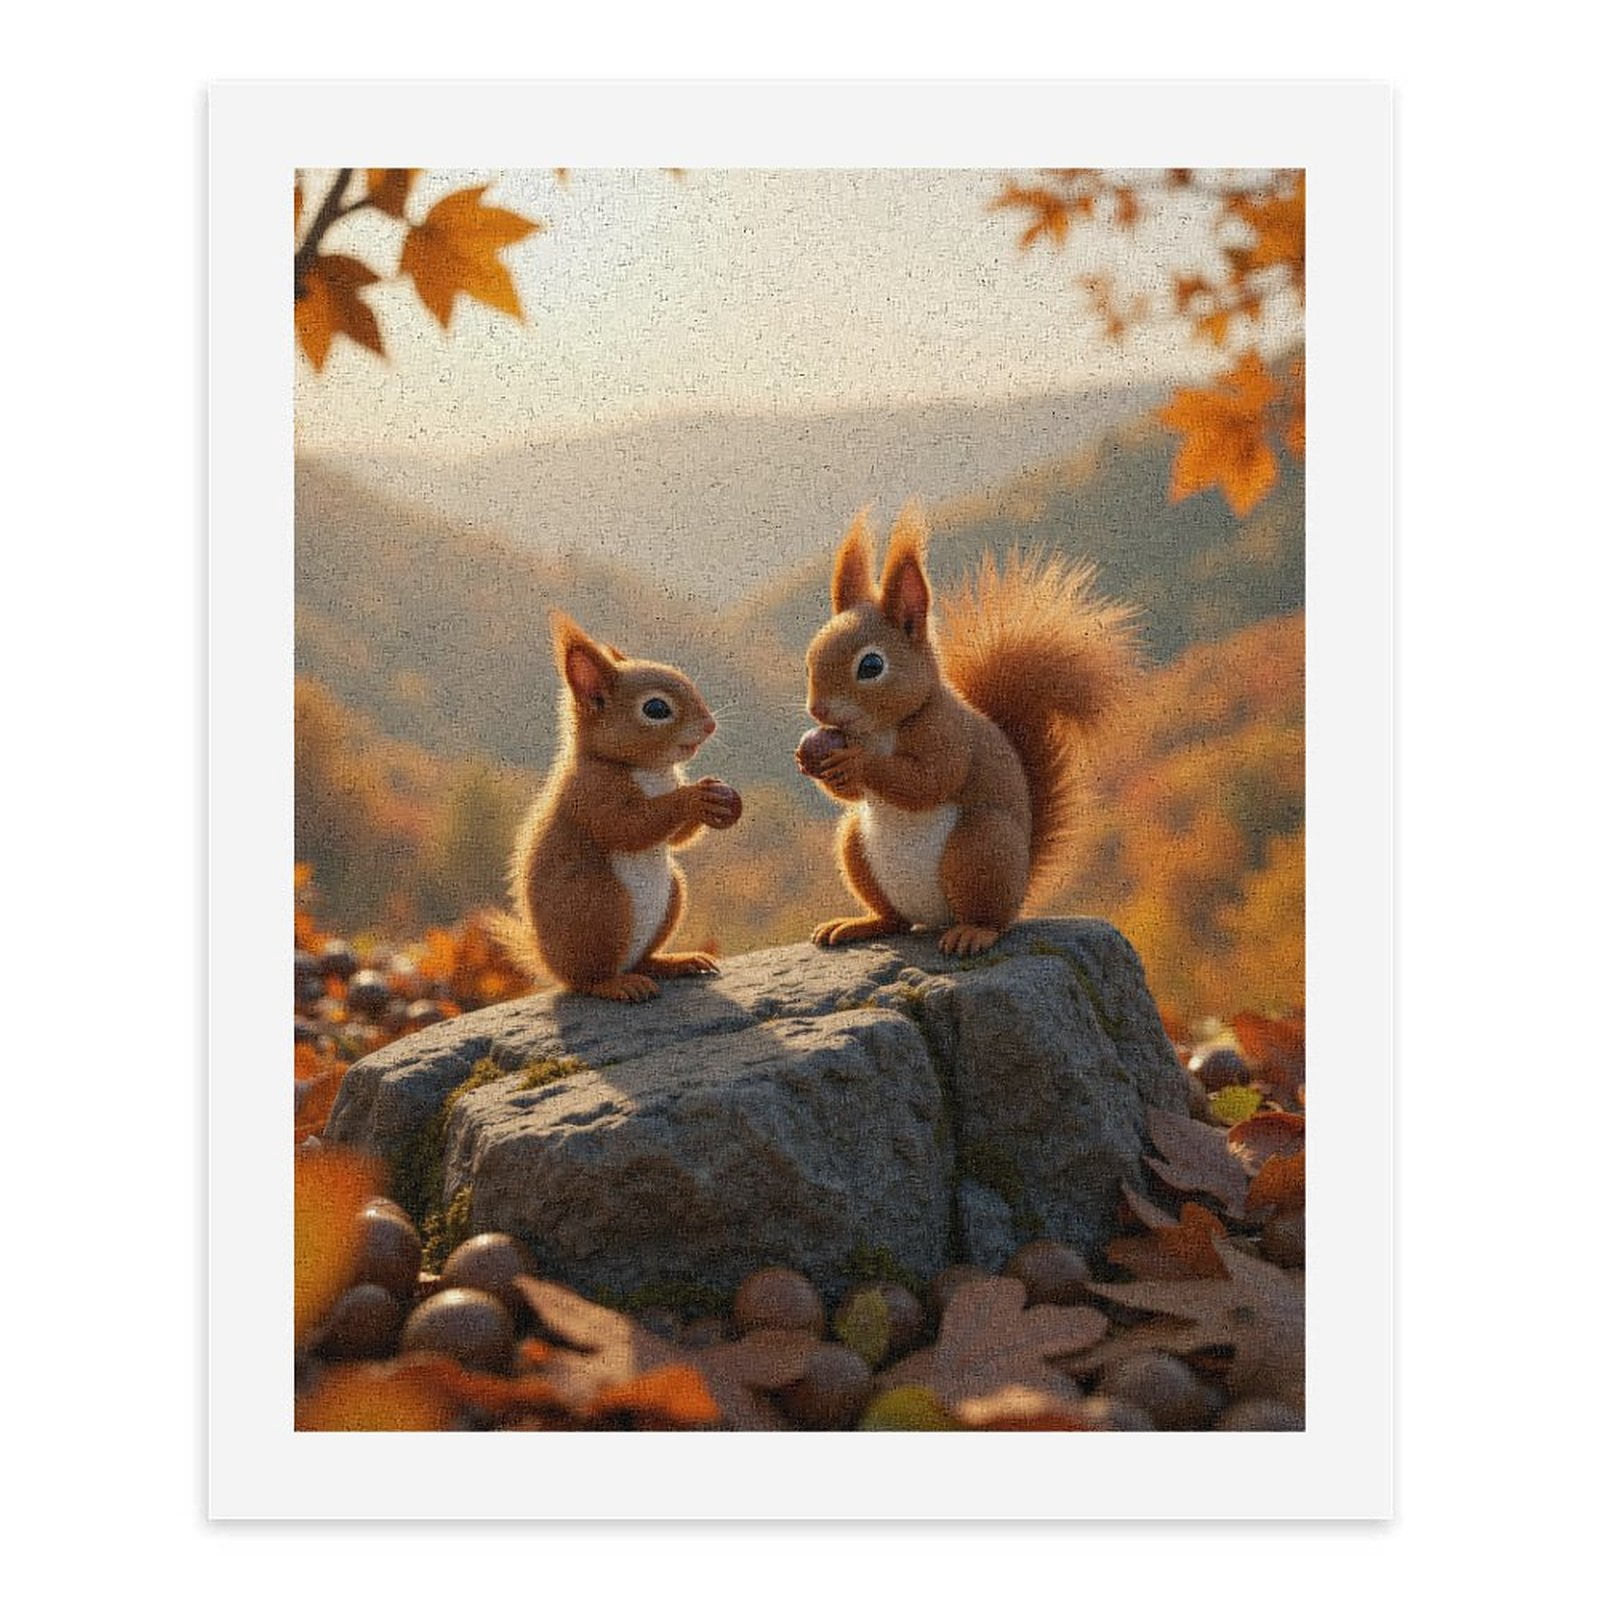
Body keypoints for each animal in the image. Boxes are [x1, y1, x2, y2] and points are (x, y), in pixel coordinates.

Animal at [492, 612, 742, 1003]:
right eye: (656, 708)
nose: (710, 725)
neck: (650, 770)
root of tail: (552, 965)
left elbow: (675, 839)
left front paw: (715, 795)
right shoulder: (592, 792)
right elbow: (628, 826)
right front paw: (694, 797)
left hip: (672, 895)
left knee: (642, 960)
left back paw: (674, 962)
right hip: (603, 908)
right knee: (589, 980)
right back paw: (619, 984)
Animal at [796, 504, 1135, 957]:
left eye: (871, 666)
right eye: (810, 659)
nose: (818, 710)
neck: (881, 729)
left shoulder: (947, 733)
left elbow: (927, 781)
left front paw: (856, 762)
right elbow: (853, 795)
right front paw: (812, 762)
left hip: (978, 847)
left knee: (990, 918)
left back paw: (972, 933)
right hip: (855, 845)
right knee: (895, 920)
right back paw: (860, 924)